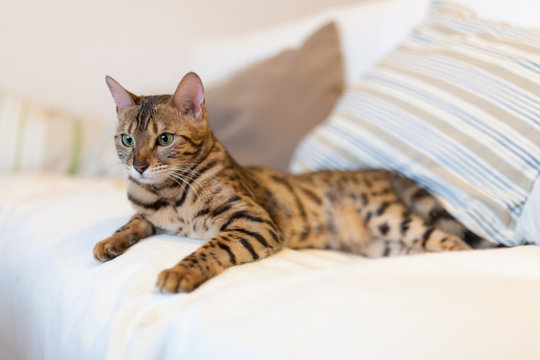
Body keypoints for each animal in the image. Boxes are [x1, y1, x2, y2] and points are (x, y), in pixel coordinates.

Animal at [94, 72, 494, 292]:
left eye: (164, 139)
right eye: (127, 140)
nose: (139, 166)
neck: (168, 193)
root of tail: (379, 170)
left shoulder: (253, 222)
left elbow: (207, 249)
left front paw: (179, 272)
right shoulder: (149, 212)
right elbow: (133, 221)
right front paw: (109, 242)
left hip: (390, 218)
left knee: (453, 241)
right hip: (384, 245)